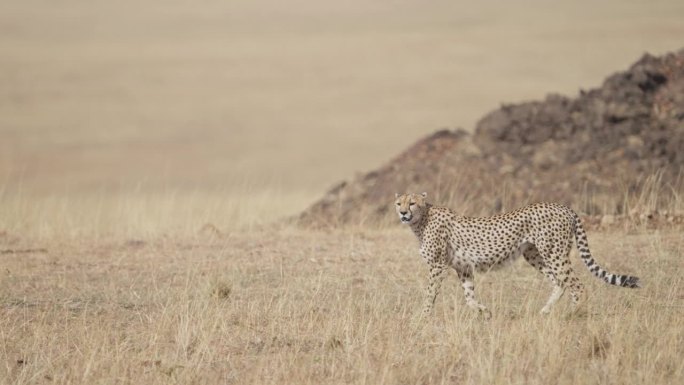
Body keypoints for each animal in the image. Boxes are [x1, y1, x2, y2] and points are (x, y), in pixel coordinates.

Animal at [396, 191, 640, 316]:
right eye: (399, 202)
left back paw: (572, 314)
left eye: (412, 202)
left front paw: (423, 317)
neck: (422, 219)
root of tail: (564, 207)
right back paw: (545, 312)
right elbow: (469, 296)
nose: (402, 213)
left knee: (577, 285)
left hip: (554, 253)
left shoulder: (438, 266)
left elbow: (430, 293)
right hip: (535, 255)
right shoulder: (463, 267)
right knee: (560, 282)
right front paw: (484, 312)